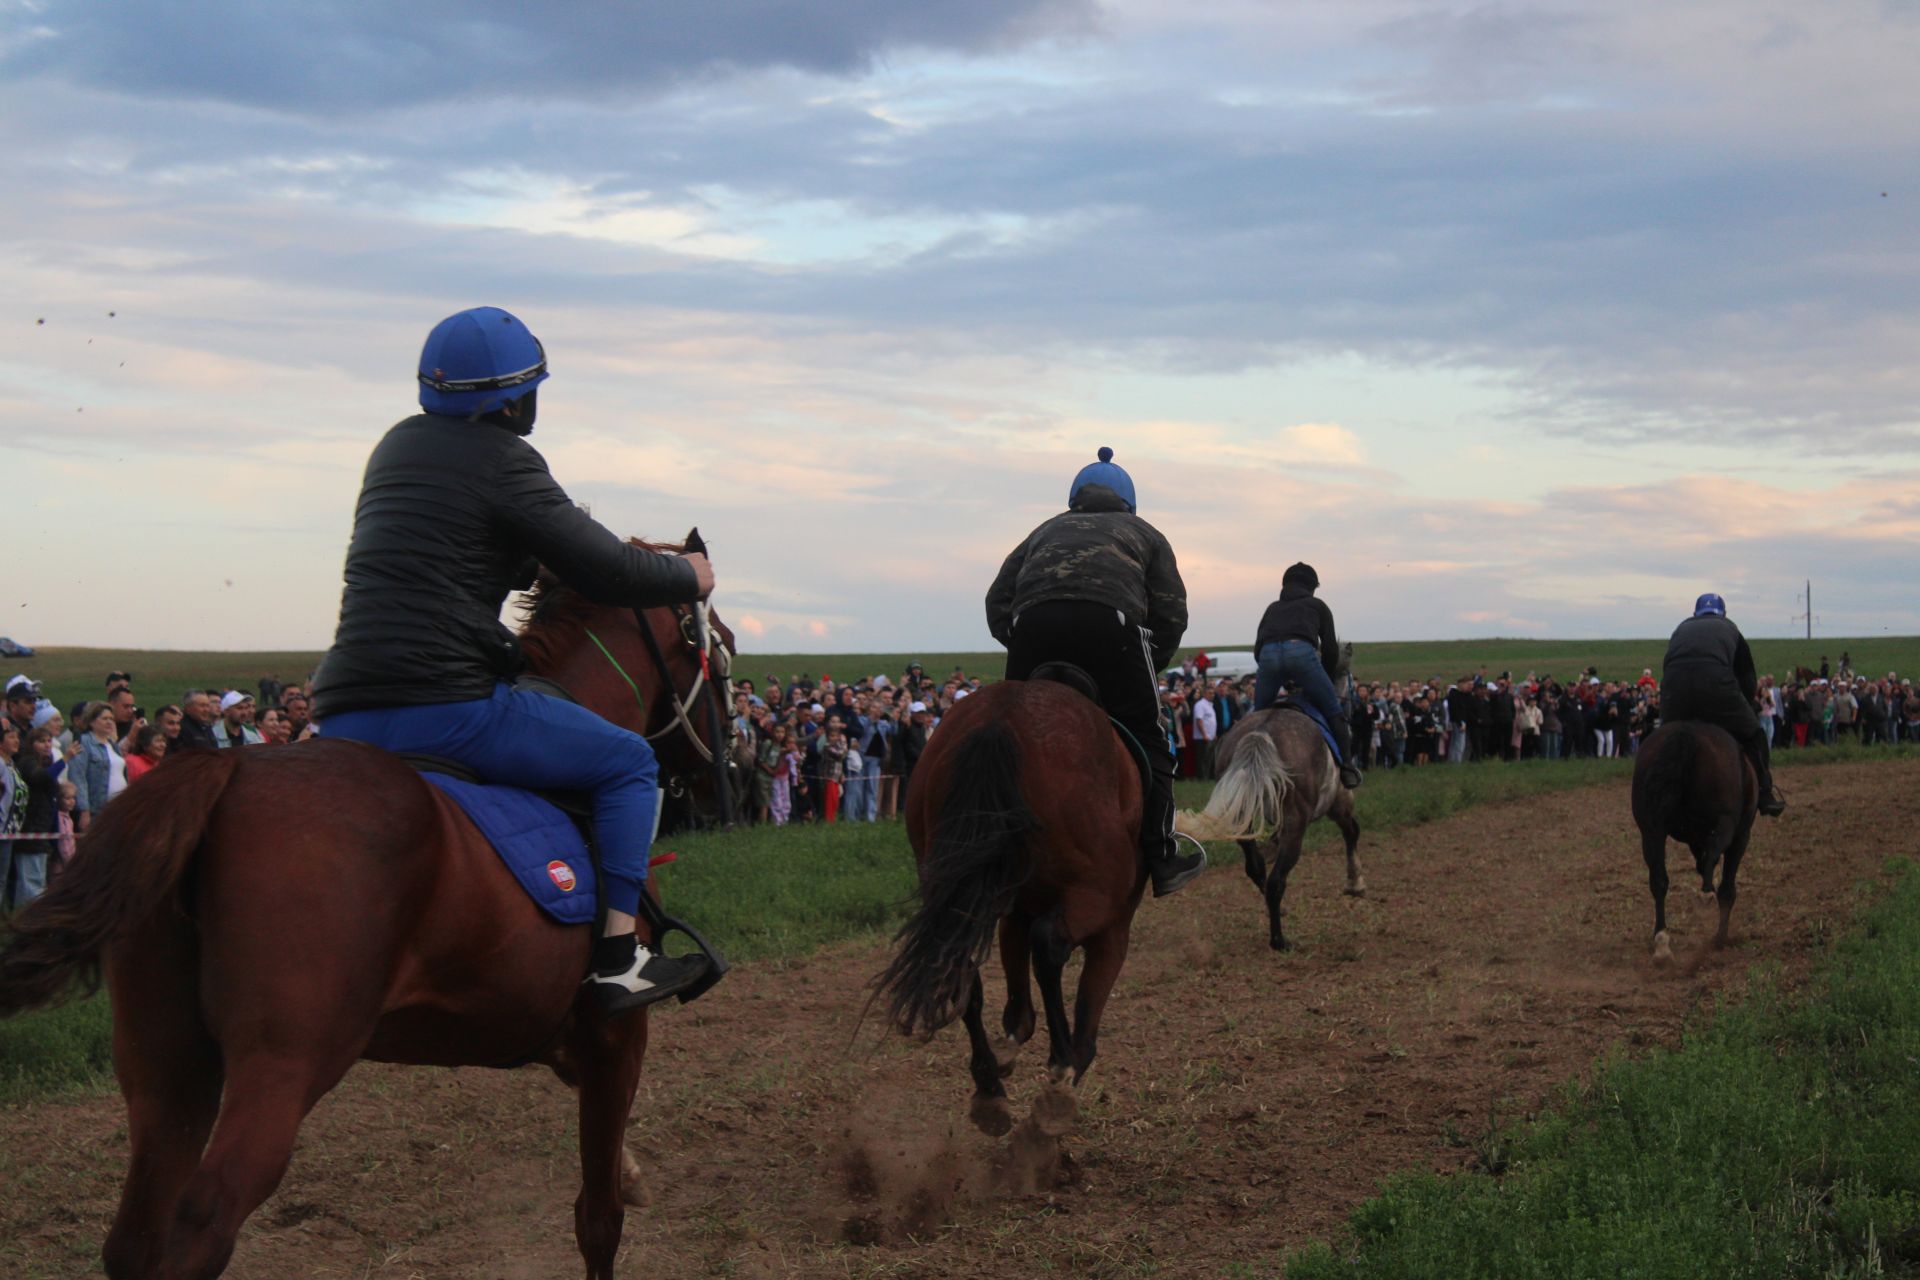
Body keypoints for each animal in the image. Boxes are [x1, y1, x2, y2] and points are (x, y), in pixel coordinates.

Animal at [0, 537, 733, 1280]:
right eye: (725, 652)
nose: (717, 773)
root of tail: (223, 771)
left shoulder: (557, 1033)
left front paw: (632, 1173)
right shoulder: (617, 1037)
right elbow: (598, 1218)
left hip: (167, 1065)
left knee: (135, 1236)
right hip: (283, 1063)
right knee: (201, 1220)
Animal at [879, 675, 1144, 1136]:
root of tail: (1000, 719)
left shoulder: (1014, 910)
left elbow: (1018, 1009)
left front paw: (1008, 1054)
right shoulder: (1113, 924)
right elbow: (1086, 1017)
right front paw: (1062, 1073)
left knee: (961, 967)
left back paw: (989, 1089)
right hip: (1092, 897)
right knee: (1050, 947)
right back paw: (1058, 1072)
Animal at [1175, 644, 1359, 948]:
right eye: (1352, 681)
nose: (1354, 705)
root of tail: (1260, 734)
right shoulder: (1338, 801)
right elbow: (1352, 832)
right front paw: (1355, 884)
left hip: (1242, 815)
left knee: (1256, 867)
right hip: (1297, 821)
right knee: (1276, 880)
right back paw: (1279, 939)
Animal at [1635, 721, 1758, 959]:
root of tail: (1686, 735)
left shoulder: (1693, 839)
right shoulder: (1741, 835)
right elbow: (1726, 885)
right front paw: (1720, 939)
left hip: (1652, 832)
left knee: (1659, 881)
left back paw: (1662, 943)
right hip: (1725, 823)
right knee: (1715, 859)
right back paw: (1706, 897)